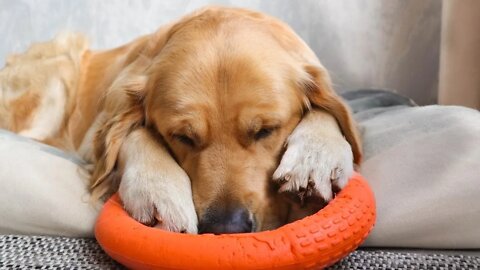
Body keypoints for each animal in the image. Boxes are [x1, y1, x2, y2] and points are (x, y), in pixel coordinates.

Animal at [0, 6, 360, 234]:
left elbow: (328, 113)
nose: (225, 228)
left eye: (266, 131)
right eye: (182, 137)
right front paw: (158, 188)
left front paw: (316, 157)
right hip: (59, 66)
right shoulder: (96, 130)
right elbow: (135, 134)